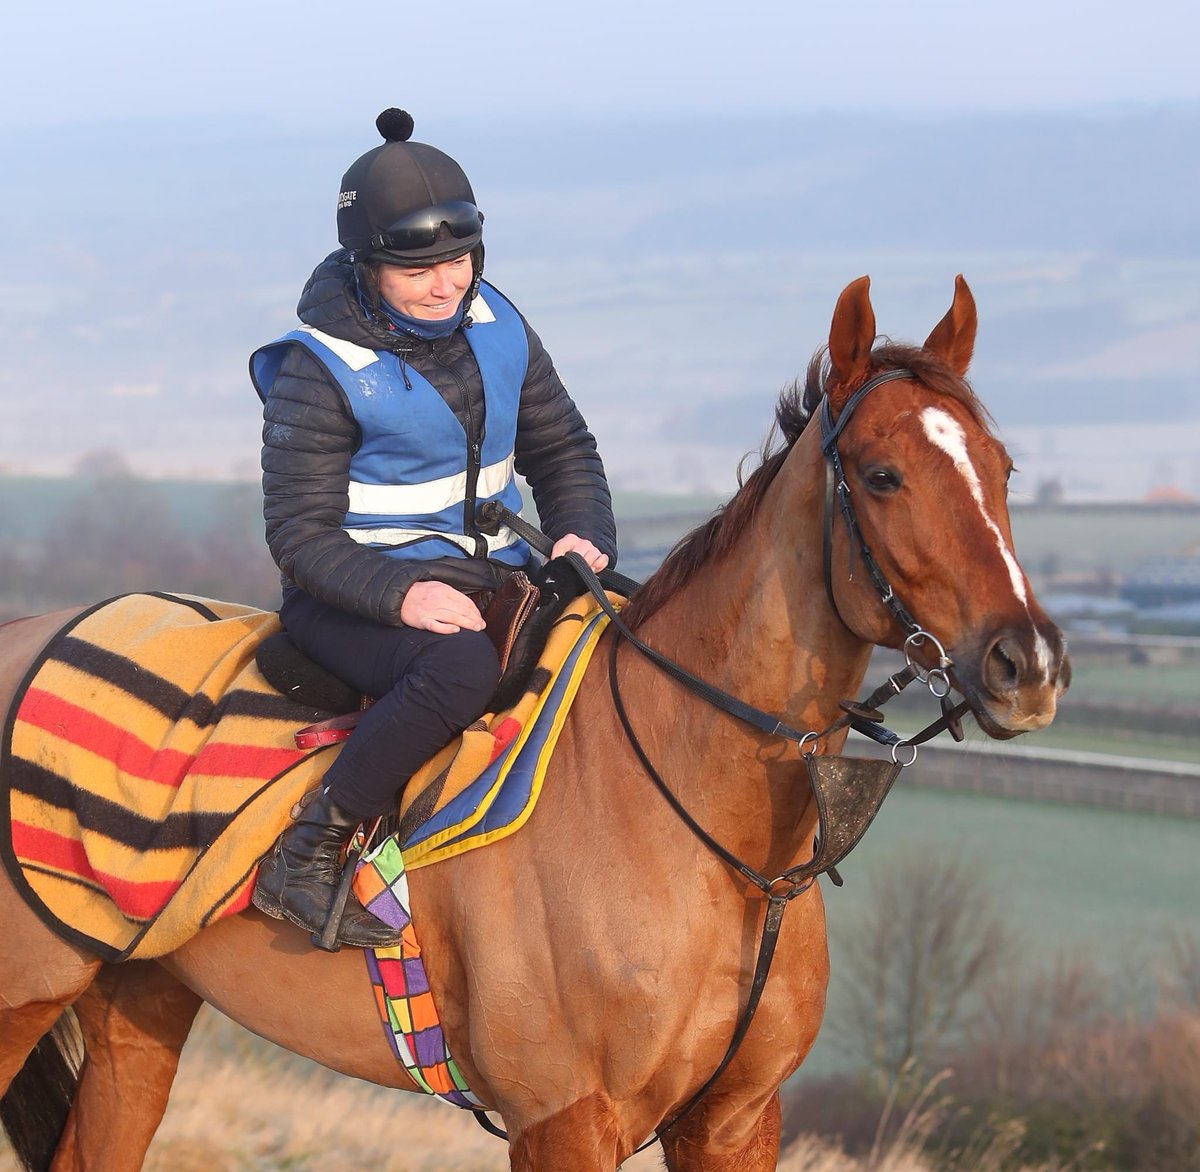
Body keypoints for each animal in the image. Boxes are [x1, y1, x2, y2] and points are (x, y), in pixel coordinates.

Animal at [0, 277, 1070, 1170]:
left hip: (139, 999)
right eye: (883, 475)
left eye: (1003, 467)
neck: (711, 843)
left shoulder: (734, 1120)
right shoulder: (565, 1121)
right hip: (25, 996)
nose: (1029, 664)